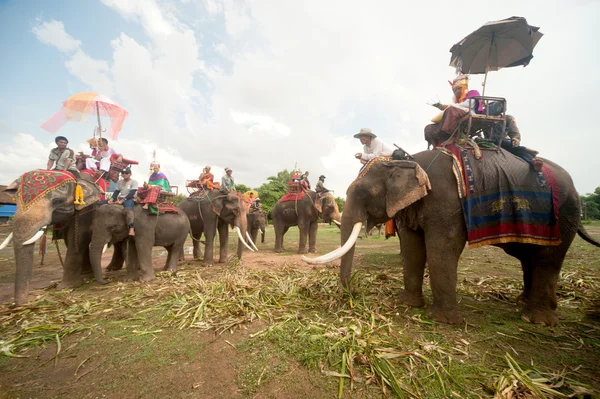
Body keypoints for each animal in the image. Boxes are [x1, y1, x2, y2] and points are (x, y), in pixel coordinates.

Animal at [0, 170, 104, 306]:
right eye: (16, 201)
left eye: (57, 201)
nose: (21, 305)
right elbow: (69, 238)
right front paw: (82, 278)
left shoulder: (87, 208)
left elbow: (79, 236)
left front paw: (67, 286)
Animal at [304, 152, 600, 326]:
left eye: (363, 193)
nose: (351, 293)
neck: (407, 159)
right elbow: (412, 248)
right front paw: (408, 304)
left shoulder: (446, 202)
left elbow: (441, 249)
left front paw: (443, 320)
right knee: (530, 257)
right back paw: (525, 305)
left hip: (564, 213)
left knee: (547, 260)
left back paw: (537, 320)